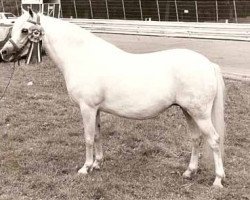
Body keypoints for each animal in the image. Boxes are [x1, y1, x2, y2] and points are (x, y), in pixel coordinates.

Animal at [0, 9, 226, 188]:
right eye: (13, 27)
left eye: (25, 30)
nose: (4, 52)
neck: (83, 57)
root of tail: (208, 64)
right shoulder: (96, 110)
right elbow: (98, 135)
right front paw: (97, 163)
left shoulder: (87, 108)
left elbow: (88, 137)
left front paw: (85, 168)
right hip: (187, 111)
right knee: (196, 139)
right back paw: (189, 172)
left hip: (200, 114)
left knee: (214, 140)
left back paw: (217, 180)